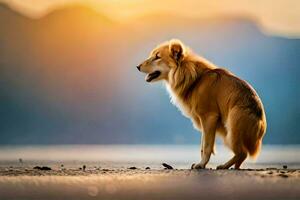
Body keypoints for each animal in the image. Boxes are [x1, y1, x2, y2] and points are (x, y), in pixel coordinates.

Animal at [137, 39, 268, 169]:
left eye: (157, 57)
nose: (137, 67)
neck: (195, 80)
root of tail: (261, 122)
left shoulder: (209, 117)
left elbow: (207, 146)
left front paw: (201, 164)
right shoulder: (203, 121)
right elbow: (202, 145)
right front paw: (201, 164)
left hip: (232, 126)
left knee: (242, 153)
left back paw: (225, 165)